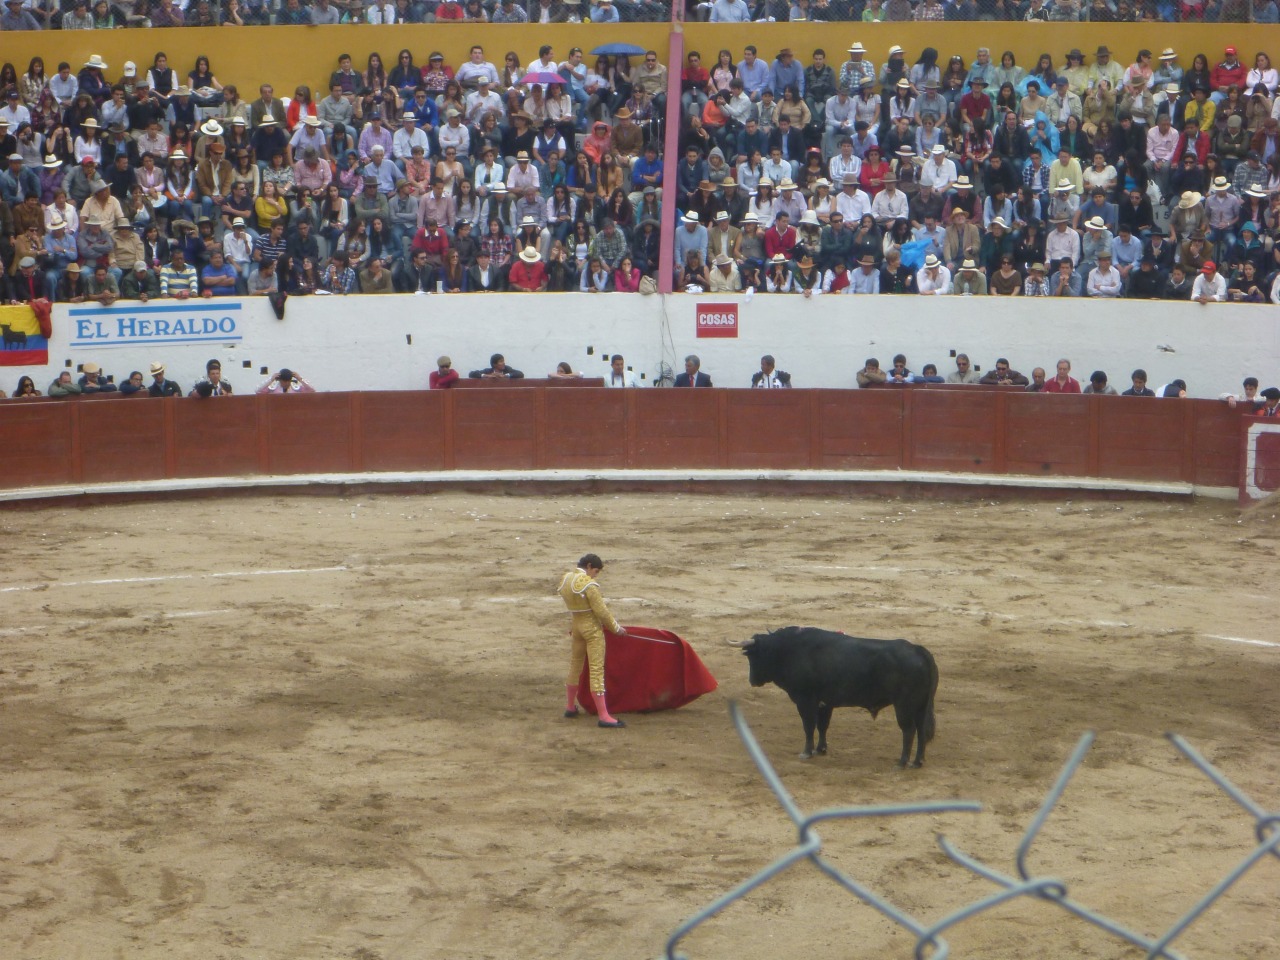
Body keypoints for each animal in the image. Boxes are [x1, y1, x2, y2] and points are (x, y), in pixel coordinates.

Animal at [732, 627, 942, 773]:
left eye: (753, 657)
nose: (752, 681)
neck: (788, 650)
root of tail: (919, 650)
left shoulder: (805, 700)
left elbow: (808, 726)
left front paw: (806, 752)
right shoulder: (825, 703)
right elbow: (822, 726)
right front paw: (820, 749)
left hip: (904, 705)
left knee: (908, 731)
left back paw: (902, 762)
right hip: (921, 706)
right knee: (921, 730)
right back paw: (917, 762)